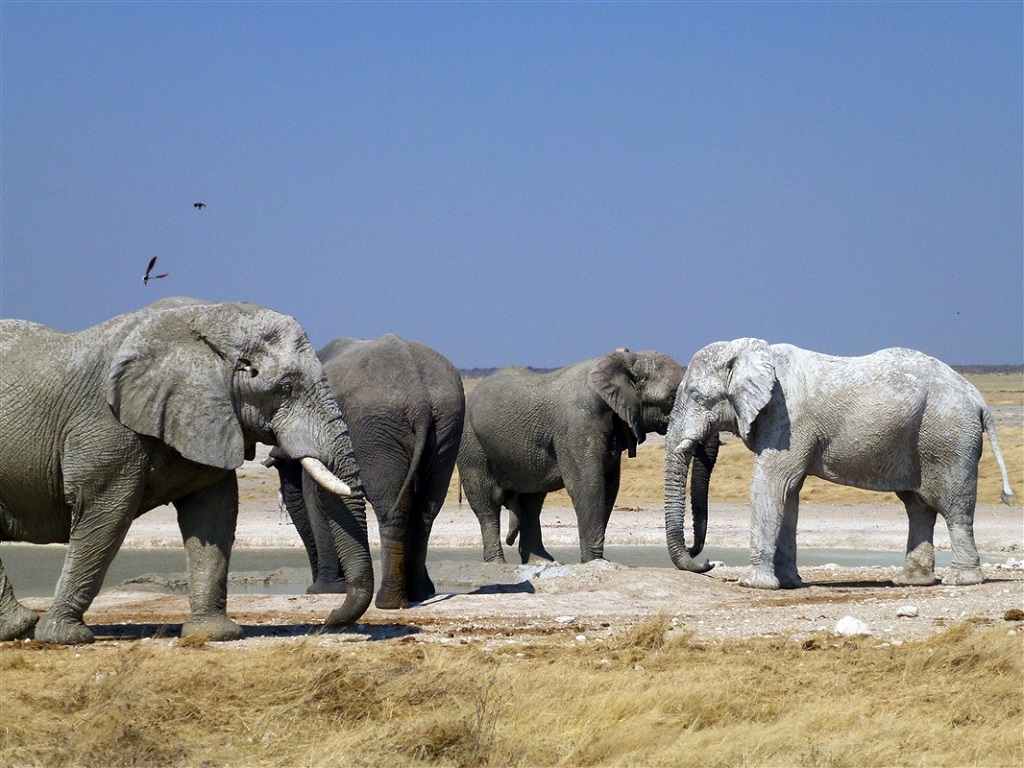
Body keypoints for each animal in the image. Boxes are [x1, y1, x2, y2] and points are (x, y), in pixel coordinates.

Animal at [0, 296, 376, 647]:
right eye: (286, 387)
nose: (330, 617)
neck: (208, 321)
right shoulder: (106, 427)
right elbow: (106, 517)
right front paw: (65, 637)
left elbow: (213, 514)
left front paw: (215, 633)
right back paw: (24, 626)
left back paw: (17, 626)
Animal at [268, 333, 468, 610]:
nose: (310, 586)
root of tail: (419, 398)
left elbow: (316, 500)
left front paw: (324, 590)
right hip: (446, 426)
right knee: (426, 510)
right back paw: (419, 593)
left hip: (375, 432)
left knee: (391, 508)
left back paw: (388, 602)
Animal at [663, 339, 1015, 593]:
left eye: (696, 396)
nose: (707, 562)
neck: (750, 350)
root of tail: (978, 398)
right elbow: (789, 494)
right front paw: (789, 584)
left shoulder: (788, 420)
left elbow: (771, 485)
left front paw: (753, 585)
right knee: (918, 507)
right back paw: (912, 582)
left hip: (948, 436)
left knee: (953, 508)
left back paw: (962, 581)